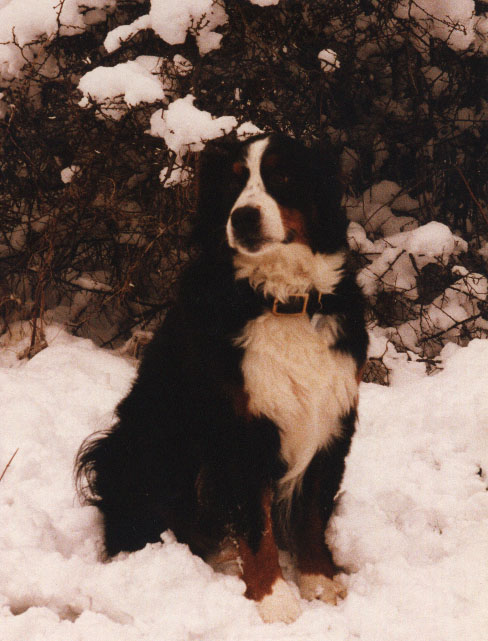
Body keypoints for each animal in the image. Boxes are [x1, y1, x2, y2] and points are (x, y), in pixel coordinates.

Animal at [75, 132, 366, 624]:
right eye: (232, 183)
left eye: (283, 176)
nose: (244, 216)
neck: (280, 301)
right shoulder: (239, 431)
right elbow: (255, 526)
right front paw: (274, 600)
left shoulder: (331, 415)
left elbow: (312, 512)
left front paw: (320, 583)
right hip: (142, 447)